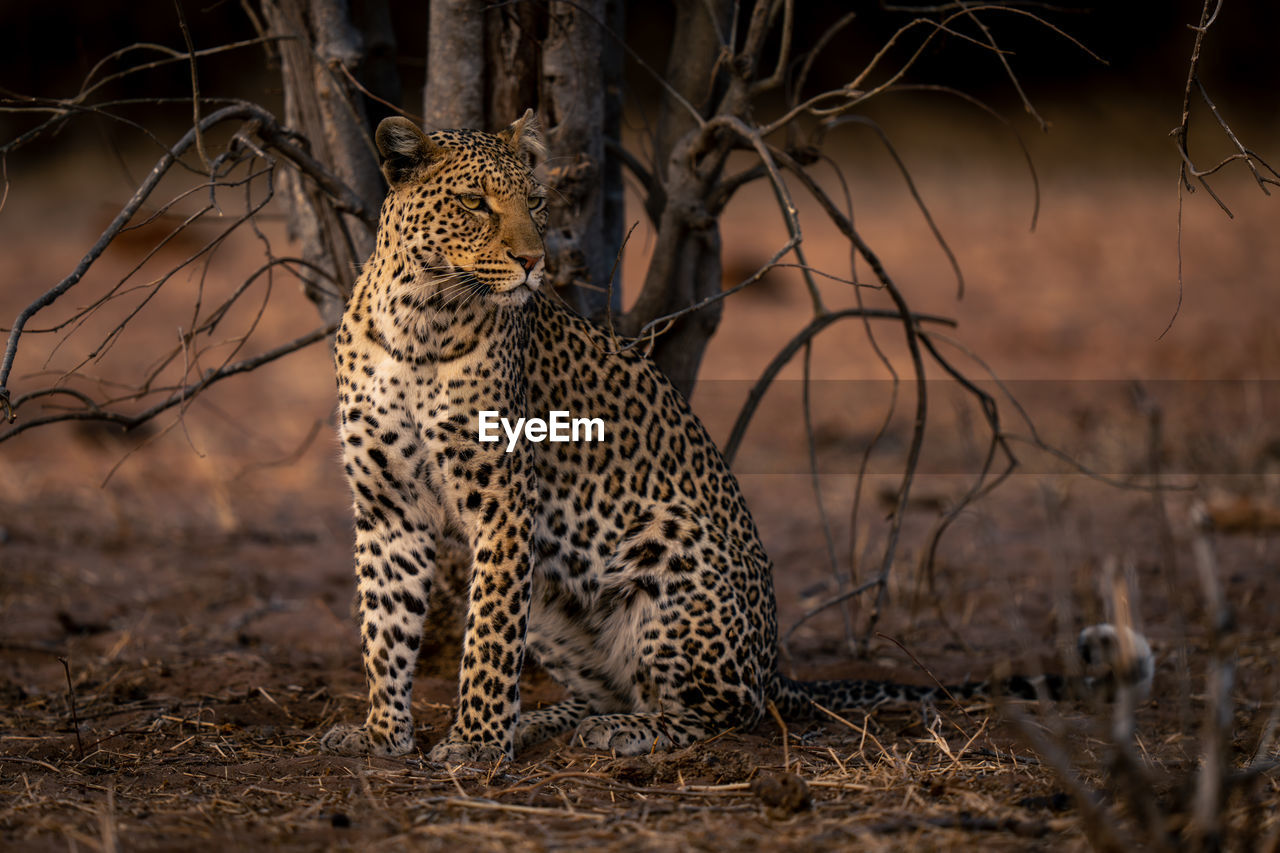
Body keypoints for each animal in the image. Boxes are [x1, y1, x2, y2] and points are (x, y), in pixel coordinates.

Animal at [320, 109, 1162, 758]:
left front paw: (476, 741)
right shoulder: (387, 504)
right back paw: (558, 718)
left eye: (534, 200)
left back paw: (627, 731)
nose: (534, 261)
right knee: (611, 686)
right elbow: (384, 623)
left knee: (727, 710)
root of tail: (773, 655)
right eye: (474, 202)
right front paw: (382, 733)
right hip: (558, 601)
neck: (420, 318)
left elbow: (488, 638)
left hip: (667, 554)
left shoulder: (500, 501)